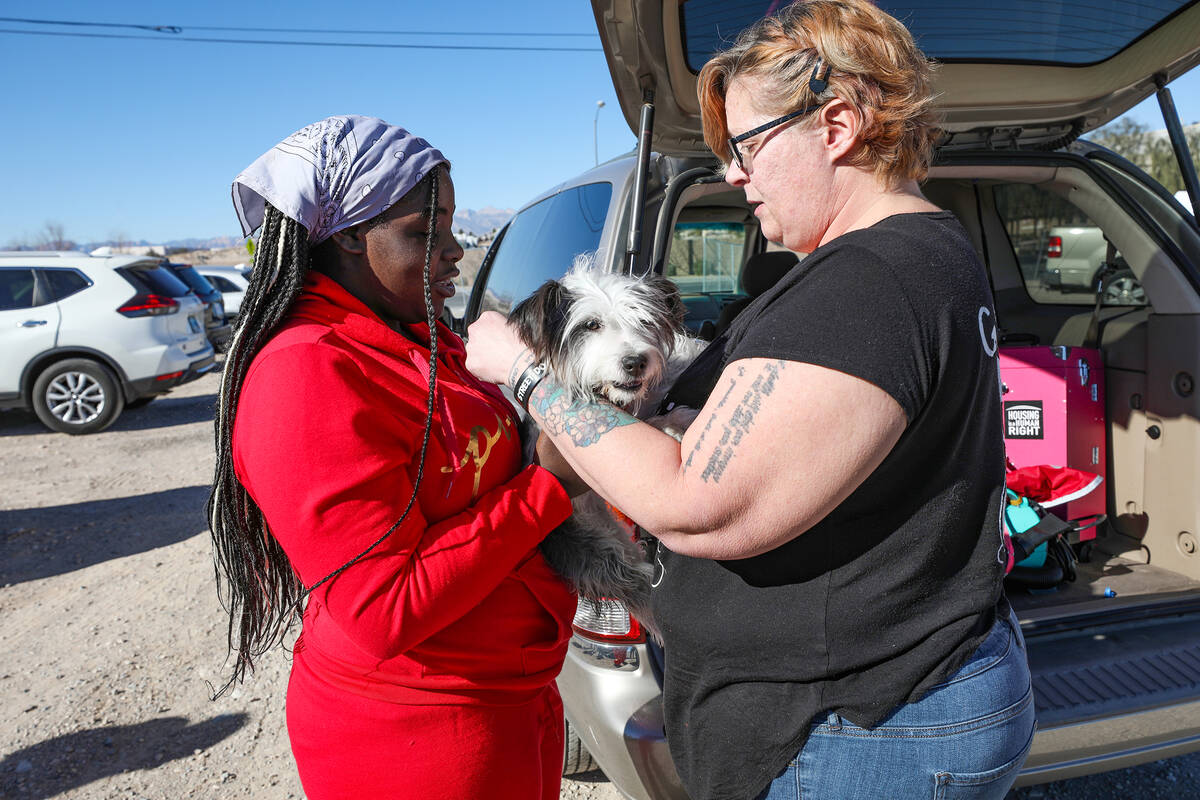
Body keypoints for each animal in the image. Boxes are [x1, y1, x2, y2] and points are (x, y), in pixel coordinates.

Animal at [506, 260, 700, 642]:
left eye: (643, 320)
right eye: (591, 325)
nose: (635, 362)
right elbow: (650, 422)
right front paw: (678, 421)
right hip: (600, 552)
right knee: (636, 583)